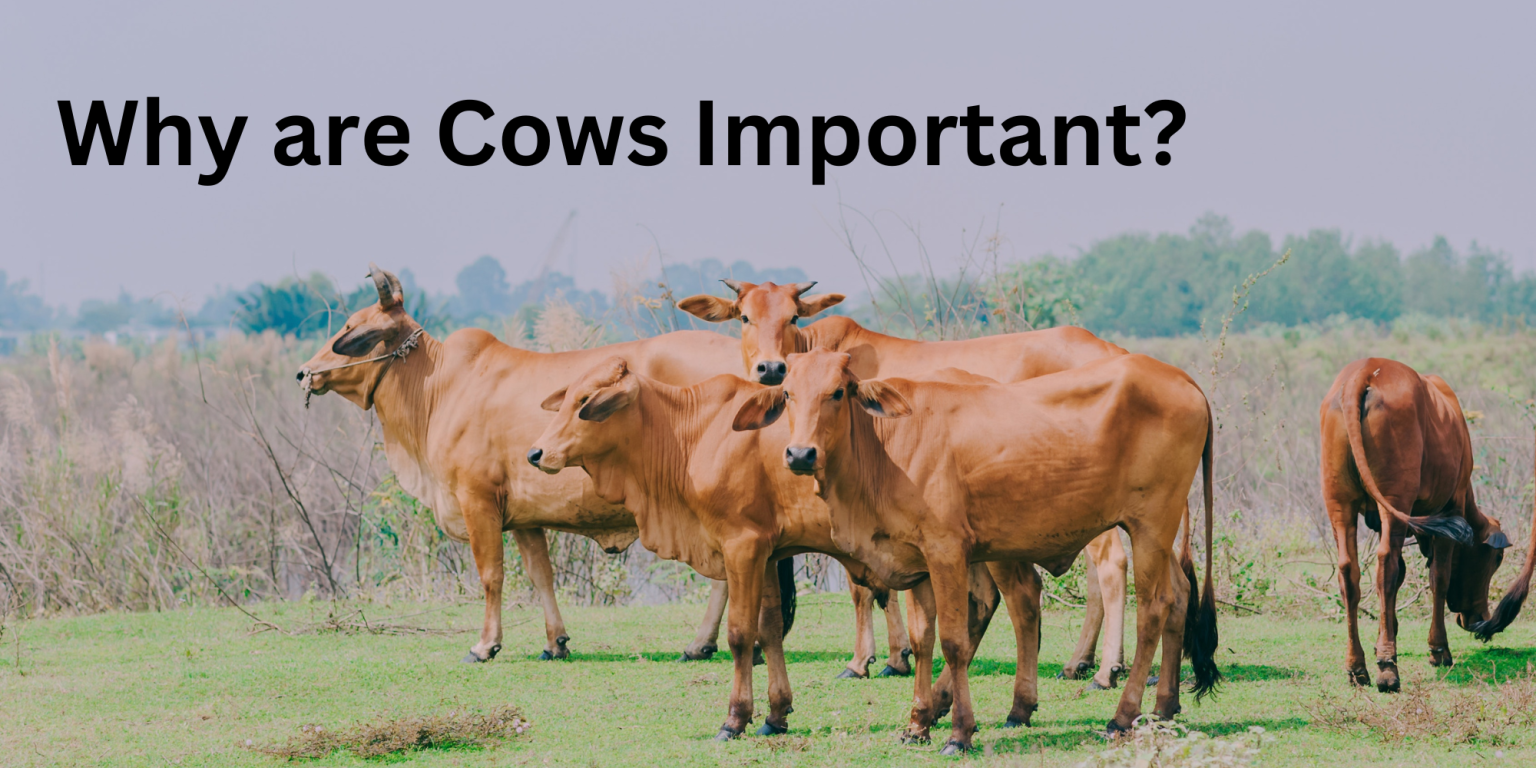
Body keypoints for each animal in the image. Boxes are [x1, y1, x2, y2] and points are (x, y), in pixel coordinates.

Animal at [297, 265, 749, 664]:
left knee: (725, 574)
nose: (304, 372)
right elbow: (540, 575)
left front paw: (485, 645)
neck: (438, 386)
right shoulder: (524, 516)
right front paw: (555, 642)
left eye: (351, 327)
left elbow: (490, 575)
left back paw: (702, 643)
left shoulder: (477, 499)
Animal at [679, 279, 1135, 688]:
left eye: (792, 315)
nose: (772, 368)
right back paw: (1083, 663)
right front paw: (896, 657)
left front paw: (864, 660)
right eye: (744, 317)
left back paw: (1106, 670)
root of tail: (1117, 351)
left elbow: (863, 588)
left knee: (1112, 566)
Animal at [733, 349, 1219, 753]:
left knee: (1153, 608)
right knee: (1178, 597)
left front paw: (958, 733)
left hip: (1150, 526)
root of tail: (1183, 379)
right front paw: (918, 724)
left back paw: (1122, 716)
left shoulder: (946, 552)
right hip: (1156, 531)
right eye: (789, 394)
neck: (885, 447)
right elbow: (922, 639)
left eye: (837, 392)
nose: (800, 454)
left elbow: (953, 641)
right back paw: (1164, 706)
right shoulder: (917, 560)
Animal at [1319, 358, 1515, 692]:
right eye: (1496, 558)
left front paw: (1385, 637)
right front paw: (1439, 650)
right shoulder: (1452, 507)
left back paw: (1357, 666)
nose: (1479, 619)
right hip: (1395, 499)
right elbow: (1439, 578)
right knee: (1385, 566)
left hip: (1339, 502)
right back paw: (1388, 668)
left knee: (1349, 571)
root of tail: (1364, 370)